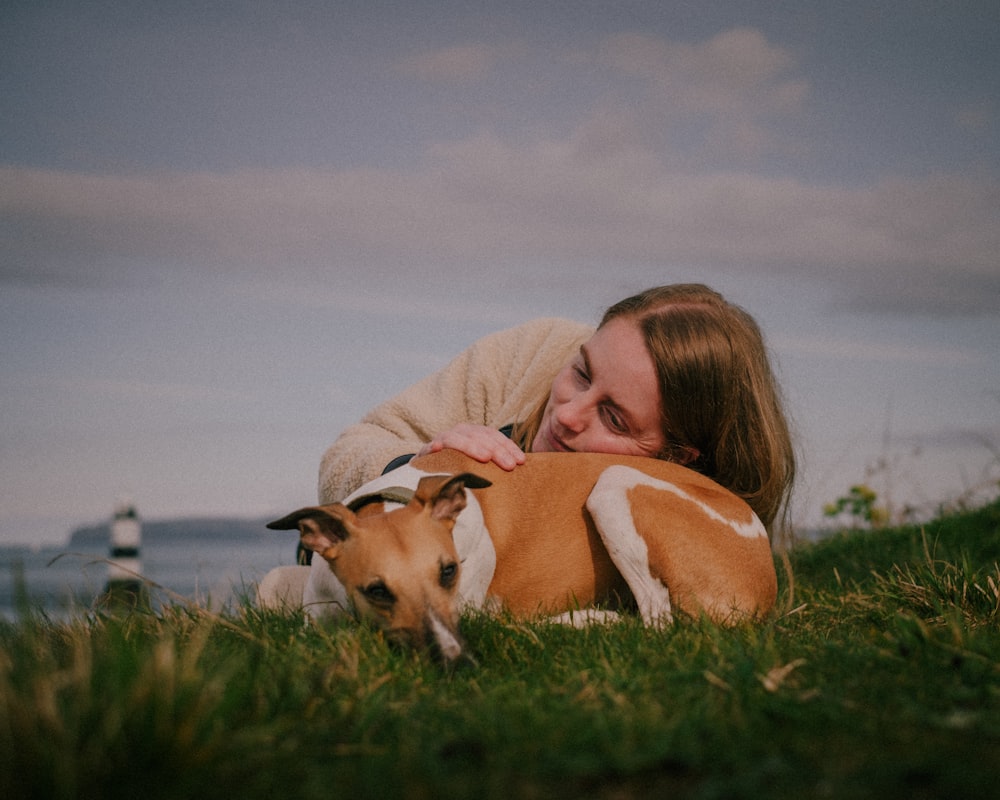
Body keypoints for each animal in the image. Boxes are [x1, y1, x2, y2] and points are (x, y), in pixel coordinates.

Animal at [256, 450, 772, 664]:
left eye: (449, 571)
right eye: (377, 590)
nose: (455, 660)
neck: (392, 498)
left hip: (614, 482)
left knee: (655, 622)